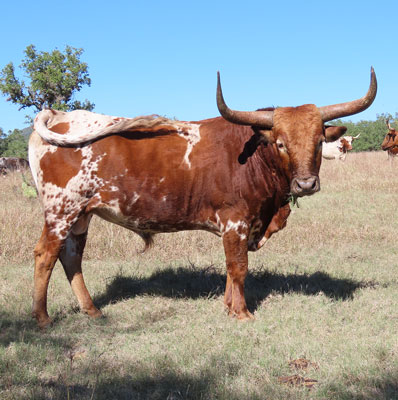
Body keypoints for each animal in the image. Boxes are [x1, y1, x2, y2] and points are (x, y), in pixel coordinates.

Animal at [29, 67, 378, 326]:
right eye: (280, 143)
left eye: (319, 141)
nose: (306, 184)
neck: (254, 155)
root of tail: (58, 114)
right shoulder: (236, 221)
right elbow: (239, 267)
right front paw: (242, 313)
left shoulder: (238, 227)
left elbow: (231, 267)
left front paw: (228, 306)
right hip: (61, 210)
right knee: (46, 255)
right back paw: (43, 318)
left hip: (81, 215)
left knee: (71, 257)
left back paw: (92, 311)